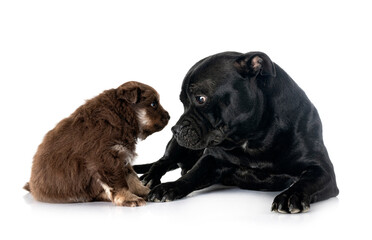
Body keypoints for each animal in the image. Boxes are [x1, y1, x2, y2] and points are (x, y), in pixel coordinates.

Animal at [25, 80, 171, 206]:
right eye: (153, 104)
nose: (169, 116)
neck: (121, 116)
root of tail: (32, 187)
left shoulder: (122, 155)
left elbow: (132, 177)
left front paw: (145, 191)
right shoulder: (107, 157)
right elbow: (119, 183)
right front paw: (130, 198)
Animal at [134, 51, 340, 213]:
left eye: (200, 98)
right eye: (183, 102)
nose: (175, 129)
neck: (254, 138)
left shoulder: (322, 170)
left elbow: (306, 181)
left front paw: (290, 195)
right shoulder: (212, 158)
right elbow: (193, 175)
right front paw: (170, 186)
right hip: (176, 148)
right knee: (164, 161)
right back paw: (150, 177)